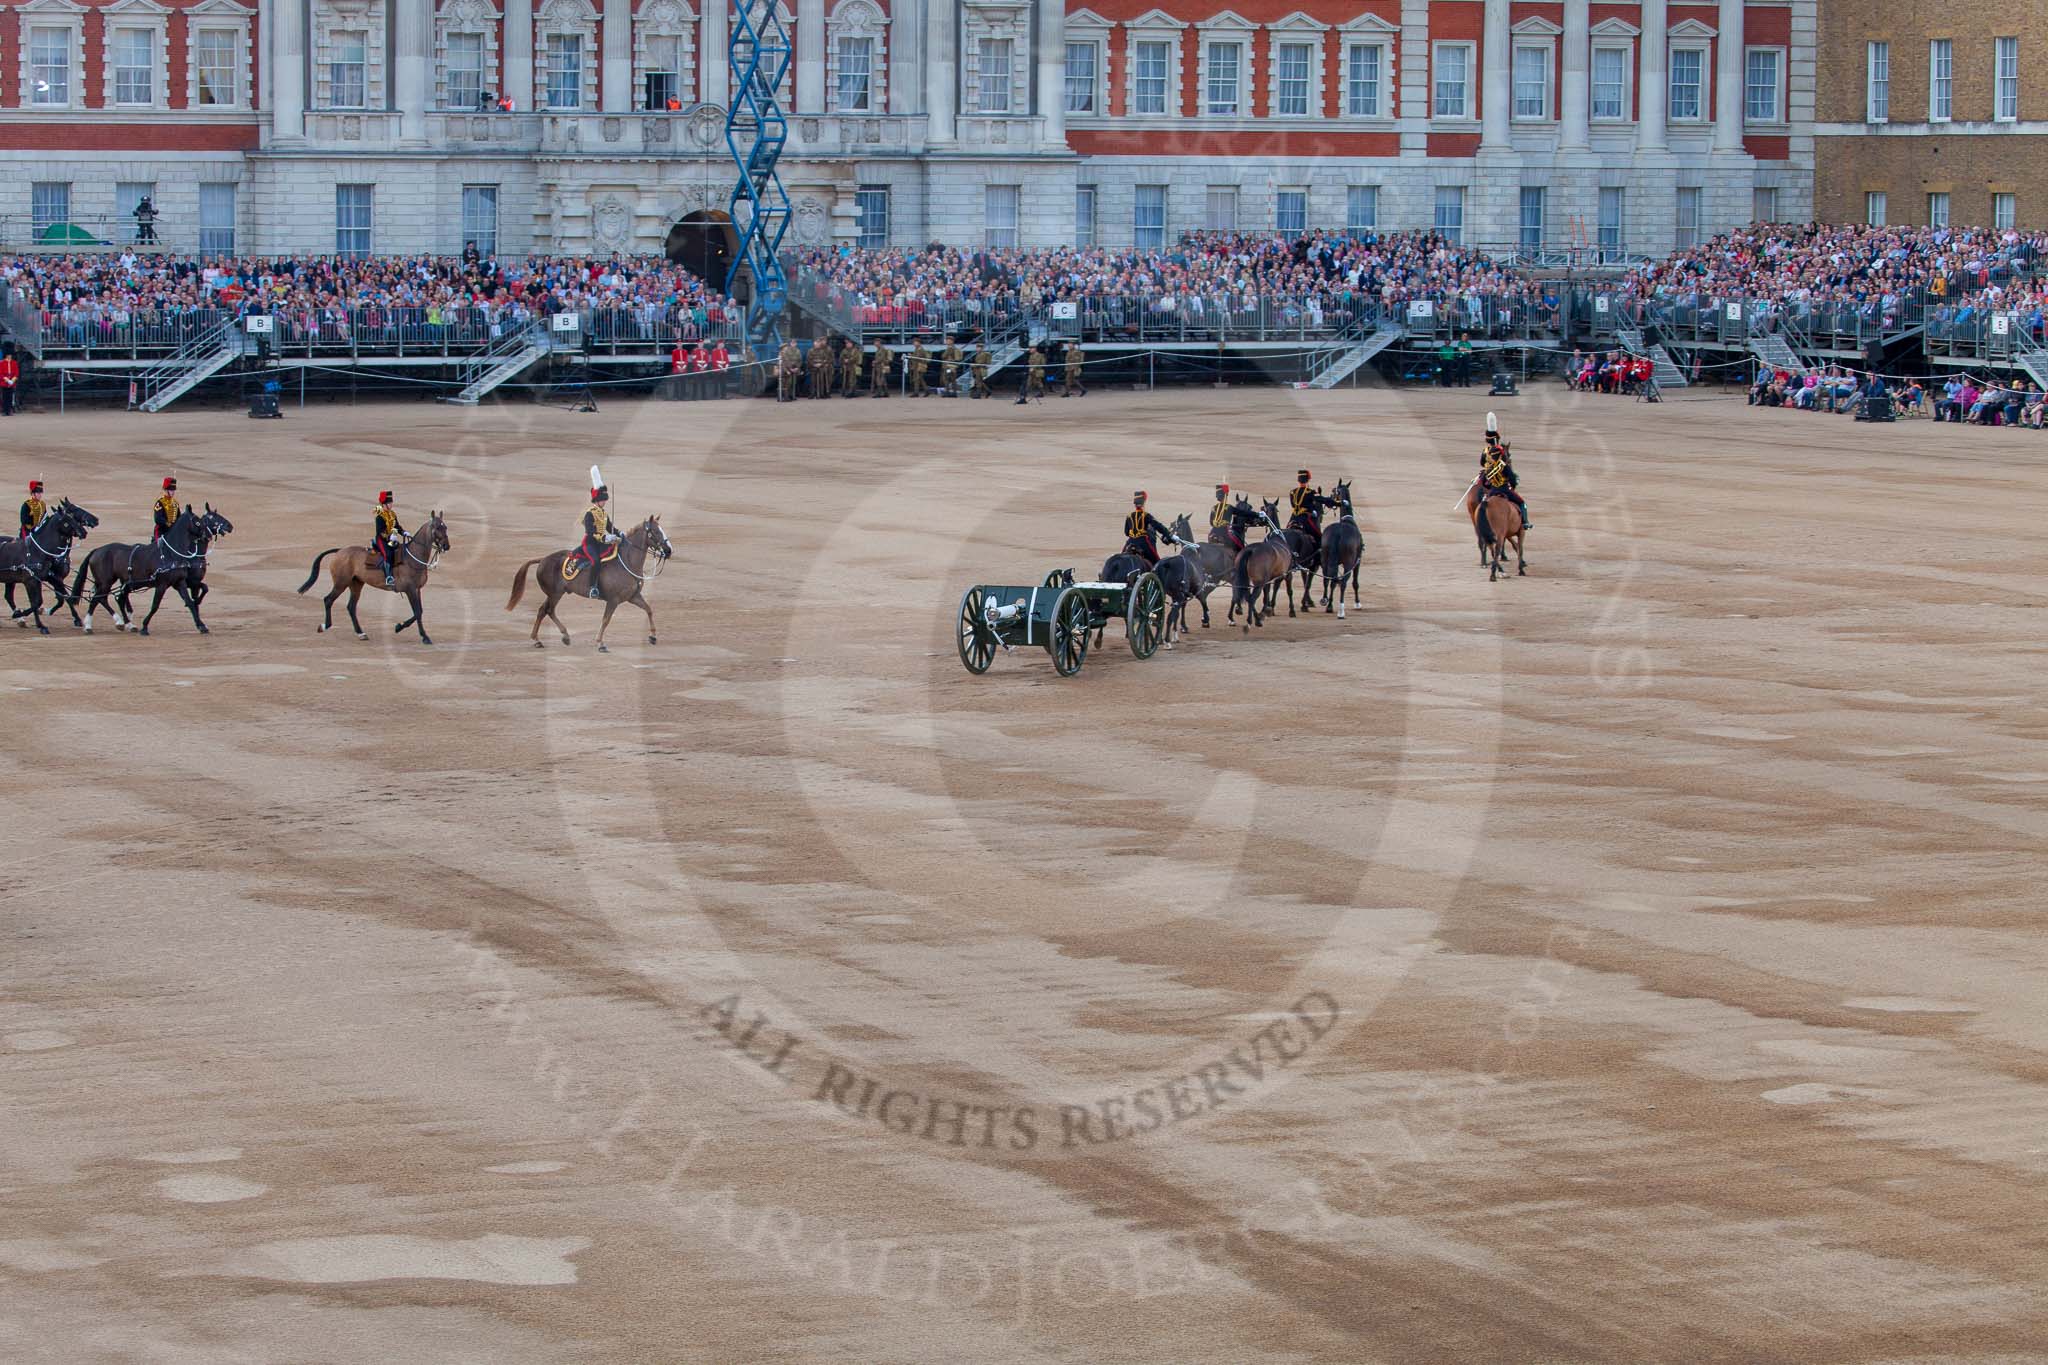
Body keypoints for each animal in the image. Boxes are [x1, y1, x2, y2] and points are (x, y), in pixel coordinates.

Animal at [1, 499, 98, 634]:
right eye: (68, 519)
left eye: (73, 517)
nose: (84, 532)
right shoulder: (32, 581)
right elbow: (37, 602)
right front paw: (40, 623)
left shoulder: (48, 579)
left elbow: (61, 597)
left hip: (10, 579)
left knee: (9, 597)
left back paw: (20, 619)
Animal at [296, 511, 452, 646]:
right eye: (437, 527)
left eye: (445, 527)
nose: (446, 546)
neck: (413, 557)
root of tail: (340, 551)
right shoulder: (410, 589)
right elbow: (417, 612)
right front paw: (420, 635)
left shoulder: (417, 590)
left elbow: (419, 611)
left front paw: (403, 627)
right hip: (341, 583)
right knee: (328, 600)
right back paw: (324, 626)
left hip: (356, 584)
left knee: (351, 606)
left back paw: (361, 633)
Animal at [503, 517, 671, 654]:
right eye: (655, 531)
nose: (669, 551)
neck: (627, 562)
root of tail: (543, 559)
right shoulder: (613, 600)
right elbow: (606, 620)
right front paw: (600, 643)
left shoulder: (633, 596)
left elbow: (649, 610)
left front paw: (653, 636)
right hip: (555, 594)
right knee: (549, 610)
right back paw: (563, 636)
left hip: (553, 594)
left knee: (542, 610)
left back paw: (539, 640)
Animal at [1318, 480, 1368, 618]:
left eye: (1333, 490)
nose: (1327, 501)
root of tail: (1338, 534)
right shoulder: (1357, 562)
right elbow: (1355, 583)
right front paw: (1357, 603)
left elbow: (1332, 581)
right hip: (1349, 562)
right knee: (1343, 582)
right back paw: (1341, 610)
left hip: (1325, 559)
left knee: (1328, 579)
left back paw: (1327, 603)